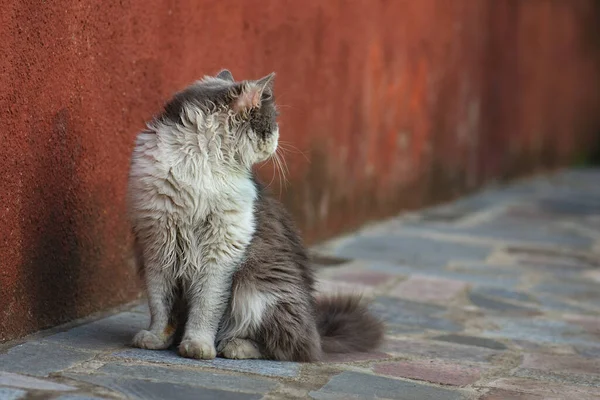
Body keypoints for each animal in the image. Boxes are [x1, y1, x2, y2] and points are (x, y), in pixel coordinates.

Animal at [126, 69, 384, 362]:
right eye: (271, 123)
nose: (277, 139)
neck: (199, 161)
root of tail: (316, 330)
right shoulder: (157, 243)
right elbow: (161, 306)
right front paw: (155, 338)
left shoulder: (220, 252)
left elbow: (206, 306)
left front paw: (198, 346)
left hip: (257, 292)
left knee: (285, 347)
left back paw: (233, 346)